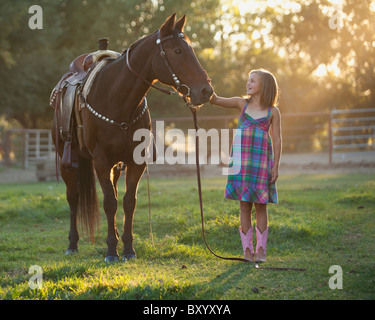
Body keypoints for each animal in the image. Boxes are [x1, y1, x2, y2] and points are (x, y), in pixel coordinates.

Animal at [52, 13, 213, 262]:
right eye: (177, 50)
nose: (206, 91)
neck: (117, 99)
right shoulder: (100, 160)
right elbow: (109, 202)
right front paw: (111, 251)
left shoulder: (135, 161)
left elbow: (128, 201)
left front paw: (127, 247)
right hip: (68, 159)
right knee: (73, 197)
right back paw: (72, 244)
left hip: (115, 166)